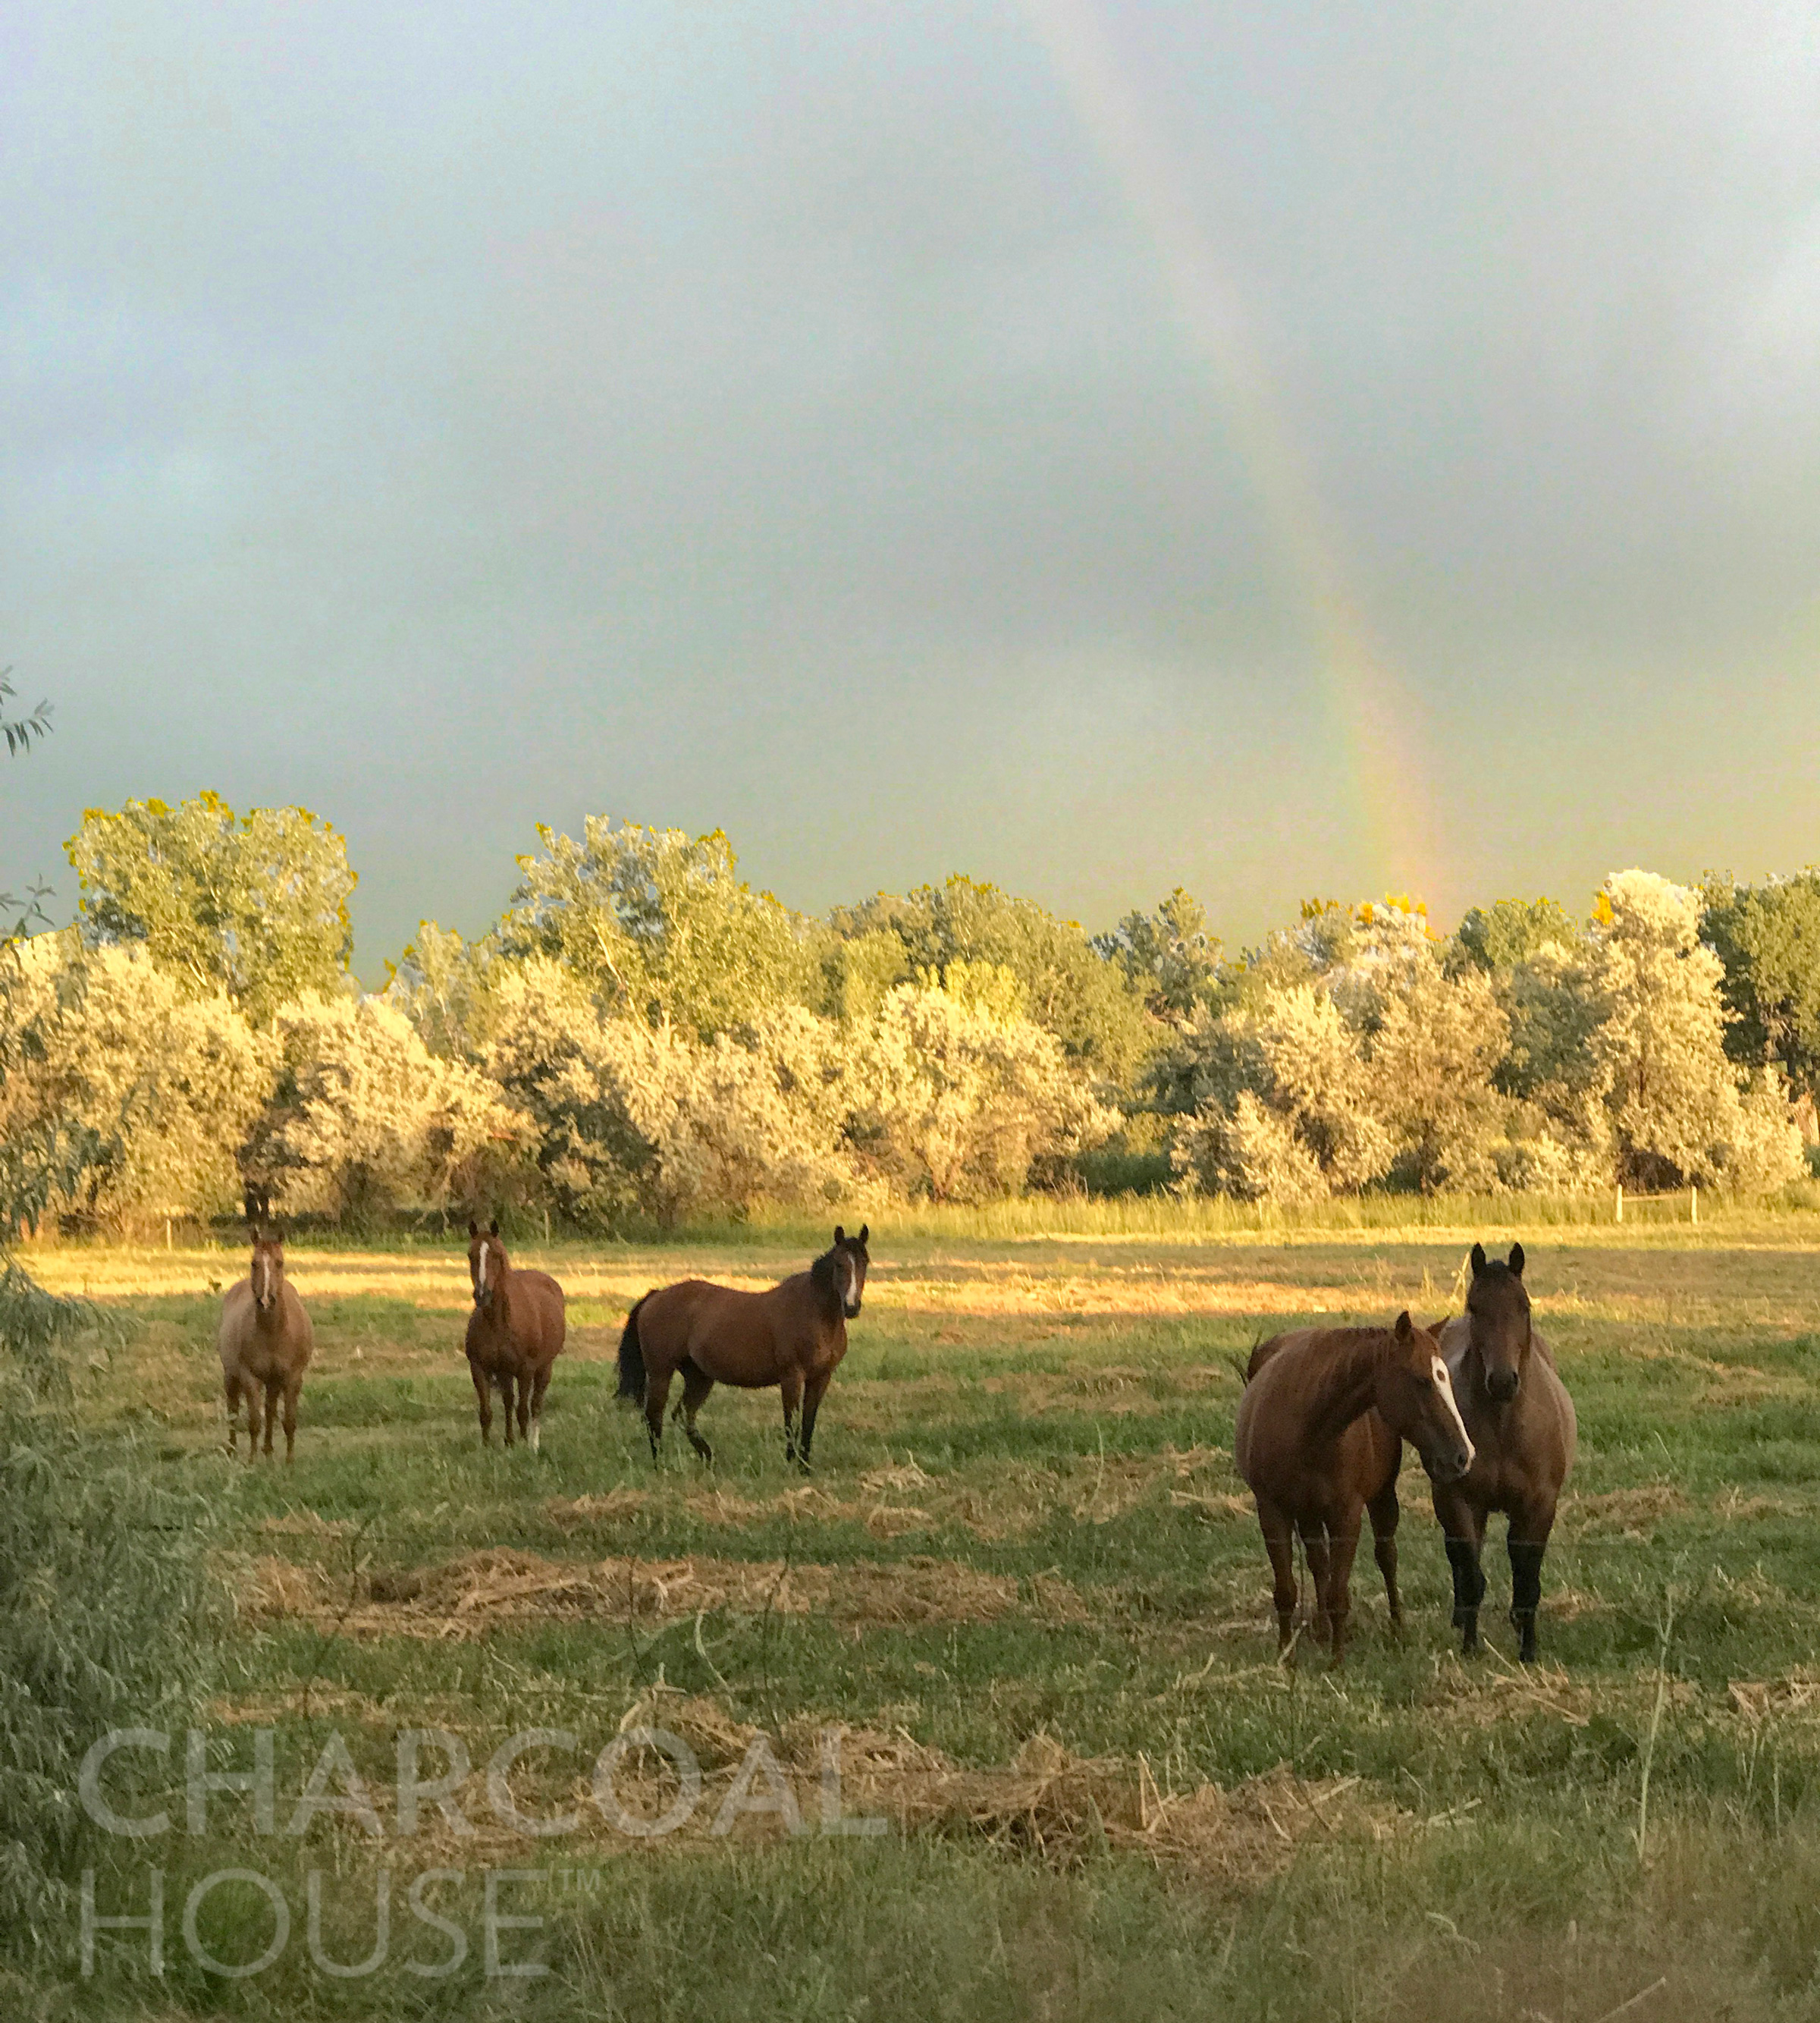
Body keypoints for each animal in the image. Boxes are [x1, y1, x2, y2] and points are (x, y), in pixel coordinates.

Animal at [219, 1197, 315, 1472]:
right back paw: (233, 1450)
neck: (274, 1333)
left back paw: (269, 1451)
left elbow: (289, 1420)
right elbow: (253, 1421)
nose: (265, 1300)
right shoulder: (249, 1378)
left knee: (271, 1410)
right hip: (231, 1376)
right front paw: (252, 1460)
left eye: (279, 1263)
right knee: (233, 1409)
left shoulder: (292, 1378)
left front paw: (289, 1461)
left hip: (273, 1382)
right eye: (254, 1263)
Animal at [465, 1214, 566, 1456]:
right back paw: (510, 1440)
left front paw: (524, 1445)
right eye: (471, 1255)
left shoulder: (526, 1370)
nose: (482, 1295)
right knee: (509, 1402)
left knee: (535, 1405)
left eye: (496, 1255)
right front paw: (487, 1447)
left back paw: (533, 1444)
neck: (499, 1323)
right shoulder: (479, 1369)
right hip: (504, 1372)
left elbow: (523, 1410)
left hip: (543, 1368)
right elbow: (486, 1412)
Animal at [614, 1214, 869, 1472]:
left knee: (684, 1414)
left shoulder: (821, 1378)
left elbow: (809, 1422)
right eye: (839, 1264)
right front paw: (791, 1463)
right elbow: (791, 1423)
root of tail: (656, 1295)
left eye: (865, 1263)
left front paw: (805, 1467)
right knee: (654, 1417)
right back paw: (661, 1466)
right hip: (660, 1373)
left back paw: (707, 1457)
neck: (814, 1311)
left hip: (699, 1377)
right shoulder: (792, 1376)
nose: (851, 1307)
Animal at [1238, 1311, 1480, 1658]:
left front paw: (1336, 1660)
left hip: (1381, 1498)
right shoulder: (1271, 1510)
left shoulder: (1346, 1514)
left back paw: (1396, 1627)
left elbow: (1340, 1593)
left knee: (1386, 1557)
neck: (1303, 1423)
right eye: (1421, 1380)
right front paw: (1285, 1655)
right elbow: (1286, 1589)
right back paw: (1322, 1629)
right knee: (1318, 1563)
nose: (1463, 1456)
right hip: (1308, 1512)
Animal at [1439, 1246, 1577, 1658]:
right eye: (1474, 1307)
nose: (1502, 1382)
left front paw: (1528, 1650)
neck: (1503, 1427)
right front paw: (1470, 1647)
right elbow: (1471, 1574)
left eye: (1524, 1306)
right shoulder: (1461, 1502)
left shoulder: (1538, 1505)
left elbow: (1527, 1578)